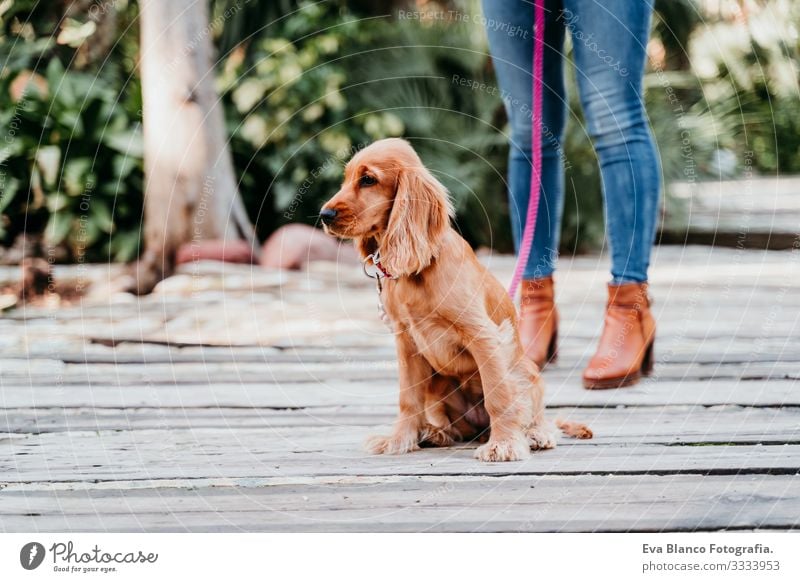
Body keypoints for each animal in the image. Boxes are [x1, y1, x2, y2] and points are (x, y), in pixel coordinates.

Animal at [318, 139, 588, 464]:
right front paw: (399, 439)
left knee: (533, 413)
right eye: (346, 179)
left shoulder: (484, 336)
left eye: (368, 180)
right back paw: (435, 433)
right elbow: (408, 398)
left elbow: (498, 396)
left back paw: (535, 434)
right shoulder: (406, 342)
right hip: (439, 386)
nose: (324, 214)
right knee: (455, 427)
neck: (422, 267)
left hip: (526, 372)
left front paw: (504, 444)